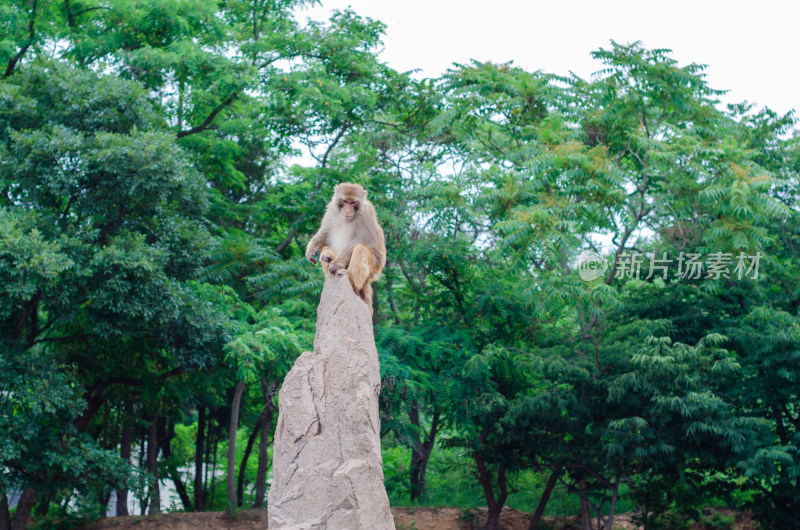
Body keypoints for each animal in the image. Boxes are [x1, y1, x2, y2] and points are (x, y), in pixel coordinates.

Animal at [304, 184, 386, 312]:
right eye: (345, 201)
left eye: (353, 202)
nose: (348, 210)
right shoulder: (331, 209)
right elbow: (325, 232)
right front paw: (311, 249)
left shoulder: (367, 214)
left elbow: (357, 241)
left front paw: (337, 263)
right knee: (325, 246)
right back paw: (328, 257)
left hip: (375, 267)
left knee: (360, 249)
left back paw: (350, 279)